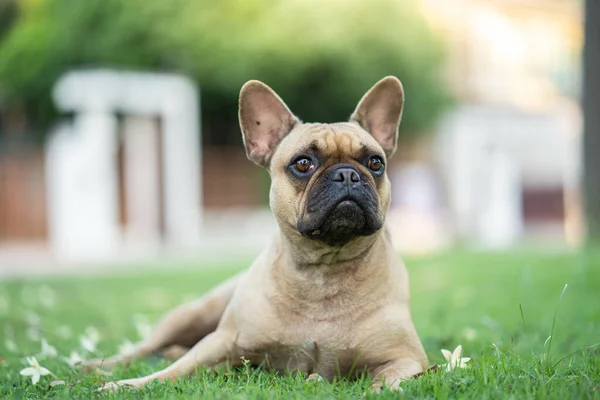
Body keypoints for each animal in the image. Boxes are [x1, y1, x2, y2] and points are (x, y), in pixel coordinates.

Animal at [88, 76, 426, 394]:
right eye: (303, 163)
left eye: (375, 163)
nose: (347, 174)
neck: (323, 271)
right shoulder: (221, 340)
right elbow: (171, 372)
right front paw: (127, 385)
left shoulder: (406, 358)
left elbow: (387, 380)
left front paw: (376, 389)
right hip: (192, 315)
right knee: (144, 349)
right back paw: (98, 366)